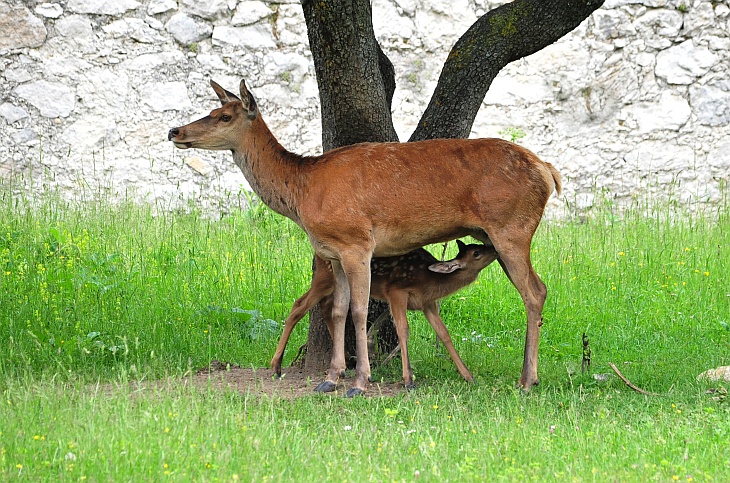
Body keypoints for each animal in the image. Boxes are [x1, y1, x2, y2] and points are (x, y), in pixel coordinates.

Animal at [270, 240, 498, 392]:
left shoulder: (427, 304)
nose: (494, 248)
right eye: (477, 252)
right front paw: (408, 380)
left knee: (327, 307)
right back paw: (276, 365)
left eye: (476, 246)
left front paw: (468, 376)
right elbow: (403, 330)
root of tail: (317, 253)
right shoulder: (397, 291)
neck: (430, 281)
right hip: (325, 276)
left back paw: (345, 361)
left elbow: (444, 333)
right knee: (299, 305)